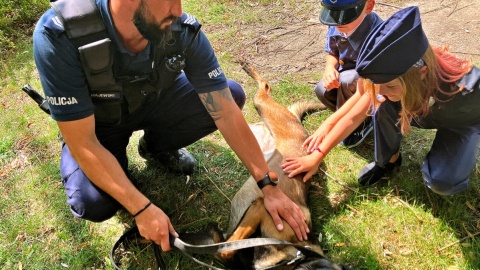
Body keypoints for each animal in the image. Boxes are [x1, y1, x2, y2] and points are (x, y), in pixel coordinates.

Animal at [212, 61, 350, 270]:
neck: (297, 252)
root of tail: (299, 126)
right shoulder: (262, 207)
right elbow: (227, 248)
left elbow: (226, 251)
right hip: (264, 106)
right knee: (265, 87)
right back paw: (249, 68)